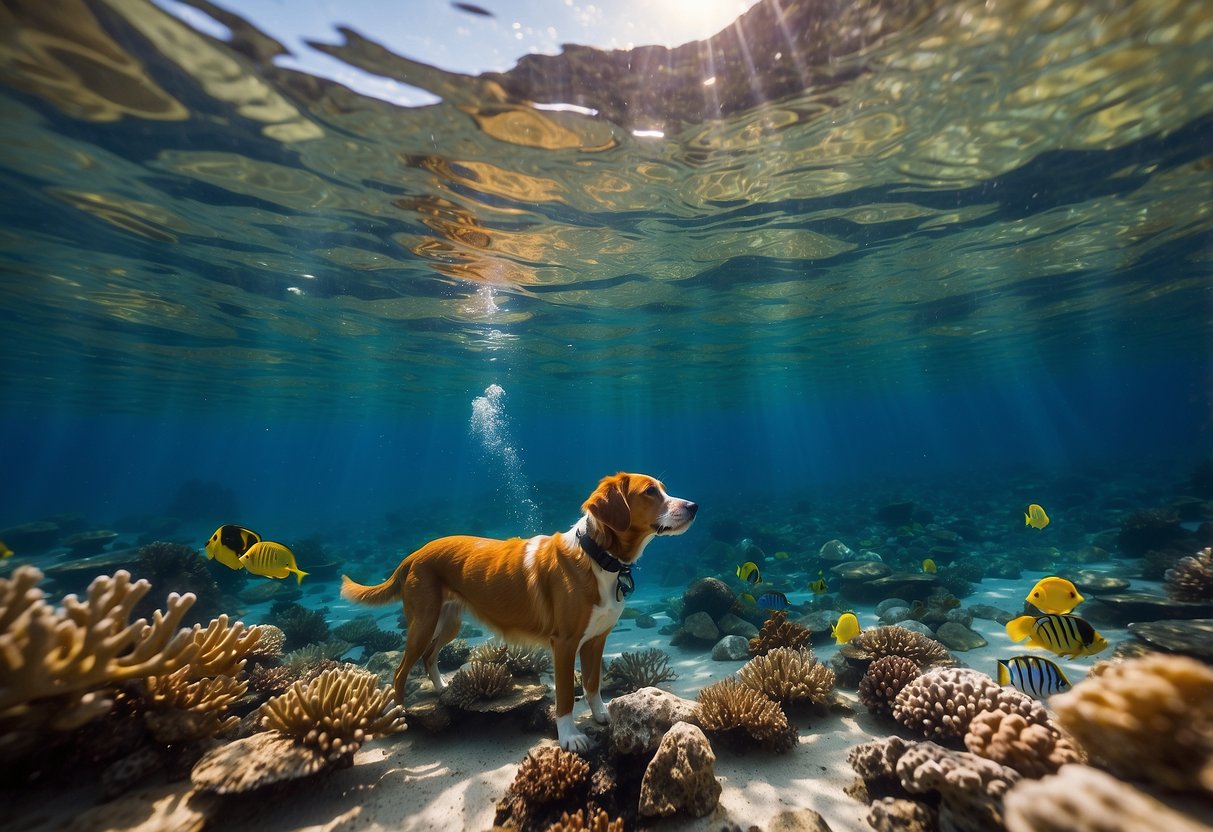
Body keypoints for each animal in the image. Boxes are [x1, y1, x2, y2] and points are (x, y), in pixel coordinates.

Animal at [346, 473, 698, 751]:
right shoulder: (565, 643)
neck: (598, 557)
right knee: (400, 671)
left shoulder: (596, 640)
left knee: (430, 656)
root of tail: (415, 553)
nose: (694, 506)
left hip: (449, 623)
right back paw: (398, 713)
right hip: (423, 622)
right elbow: (566, 695)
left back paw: (444, 689)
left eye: (663, 489)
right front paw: (569, 737)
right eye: (650, 492)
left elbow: (593, 683)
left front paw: (601, 715)